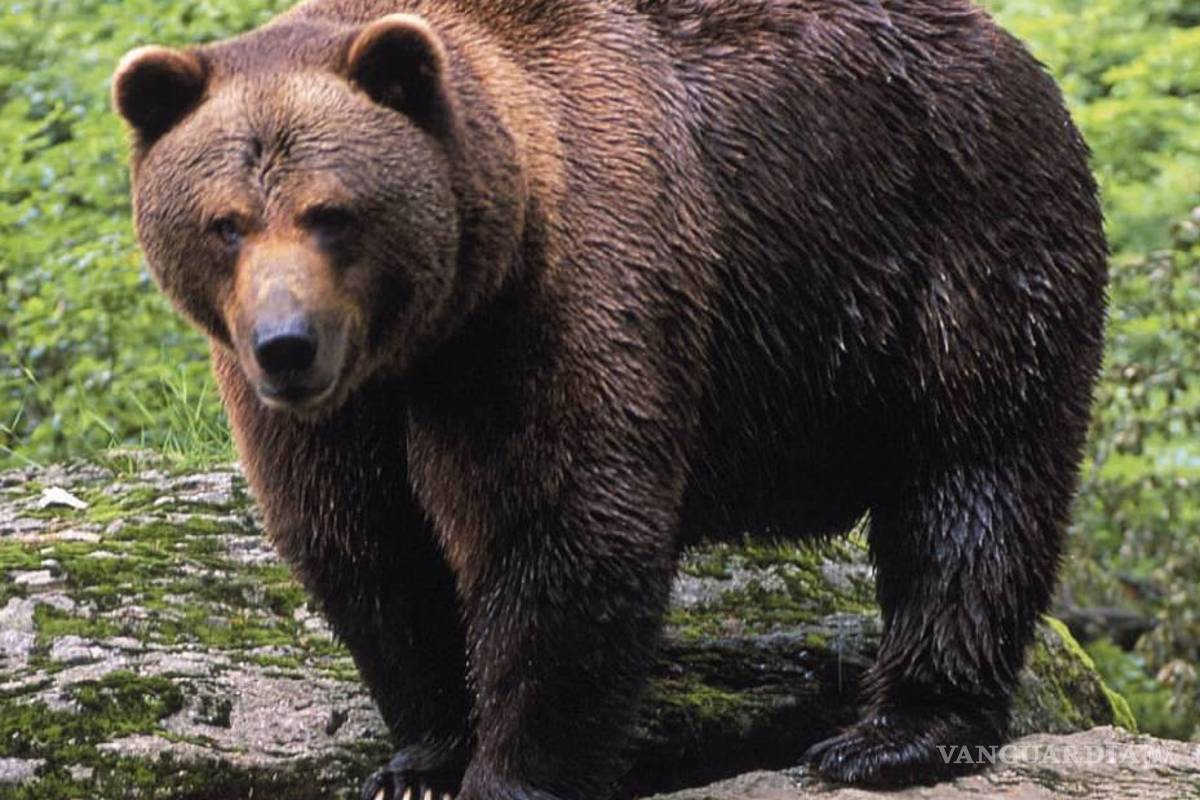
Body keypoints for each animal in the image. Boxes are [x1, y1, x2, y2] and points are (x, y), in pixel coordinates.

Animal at [112, 0, 1108, 798]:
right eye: (225, 222)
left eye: (332, 212)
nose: (287, 346)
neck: (429, 335)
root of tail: (1007, 44)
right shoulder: (338, 412)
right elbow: (366, 544)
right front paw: (419, 760)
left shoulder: (562, 302)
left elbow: (563, 532)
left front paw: (508, 773)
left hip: (962, 237)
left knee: (972, 473)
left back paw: (893, 734)